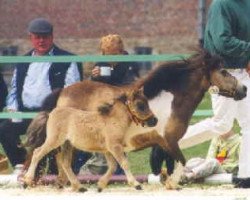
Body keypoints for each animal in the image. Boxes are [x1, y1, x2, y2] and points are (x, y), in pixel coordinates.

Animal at [23, 48, 246, 189]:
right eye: (224, 71)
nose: (243, 89)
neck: (171, 100)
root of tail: (62, 92)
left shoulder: (166, 144)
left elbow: (169, 164)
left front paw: (165, 180)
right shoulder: (170, 141)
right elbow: (181, 163)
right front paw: (171, 183)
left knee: (62, 160)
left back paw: (68, 185)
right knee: (55, 157)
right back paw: (36, 181)